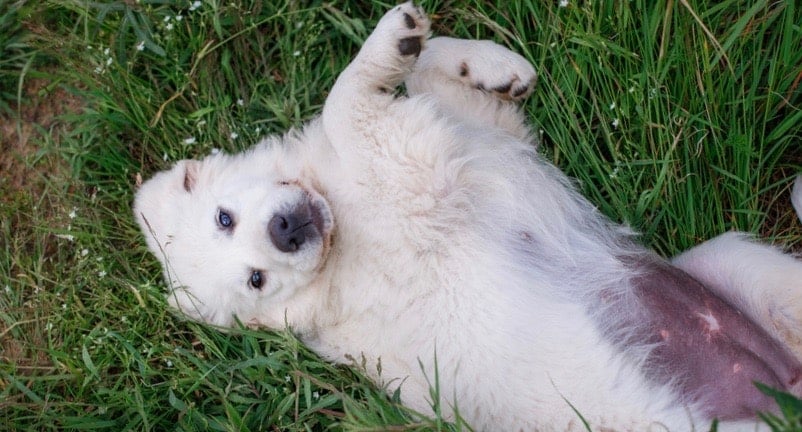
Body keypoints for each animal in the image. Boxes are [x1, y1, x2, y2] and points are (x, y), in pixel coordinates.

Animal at [134, 2, 800, 428]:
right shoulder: (412, 171)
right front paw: (389, 47)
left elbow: (424, 77)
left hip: (736, 262)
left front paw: (493, 65)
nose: (287, 231)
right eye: (257, 281)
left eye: (223, 218)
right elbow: (342, 104)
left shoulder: (477, 134)